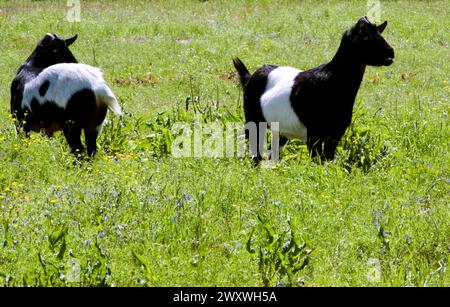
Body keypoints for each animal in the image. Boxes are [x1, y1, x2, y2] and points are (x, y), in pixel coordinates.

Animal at [234, 16, 396, 164]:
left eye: (379, 33)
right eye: (365, 35)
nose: (391, 52)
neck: (332, 81)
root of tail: (250, 77)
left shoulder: (335, 135)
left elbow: (327, 161)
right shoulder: (313, 135)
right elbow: (317, 161)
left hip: (278, 129)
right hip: (252, 120)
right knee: (254, 148)